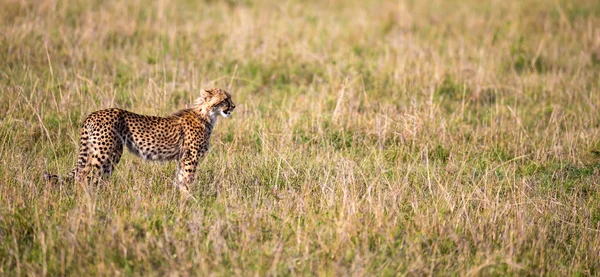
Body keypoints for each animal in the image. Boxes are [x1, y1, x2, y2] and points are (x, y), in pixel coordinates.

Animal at [44, 87, 236, 191]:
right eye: (225, 99)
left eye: (230, 98)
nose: (234, 106)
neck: (207, 115)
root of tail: (93, 114)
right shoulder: (190, 157)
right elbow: (187, 180)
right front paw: (188, 201)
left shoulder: (182, 158)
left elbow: (182, 179)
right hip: (106, 152)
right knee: (83, 176)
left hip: (108, 153)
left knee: (94, 176)